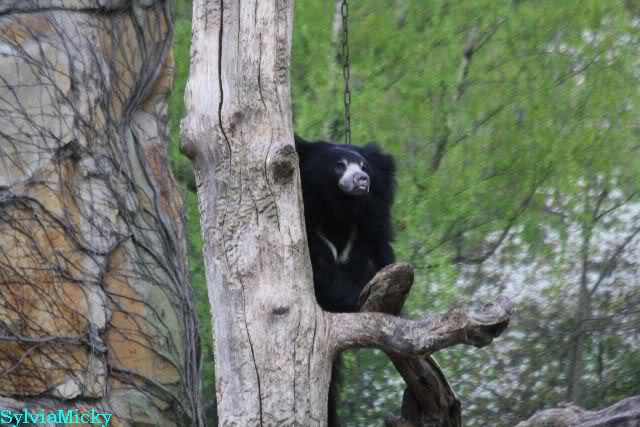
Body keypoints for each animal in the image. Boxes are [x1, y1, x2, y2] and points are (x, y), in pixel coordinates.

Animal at [294, 135, 395, 426]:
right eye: (339, 165)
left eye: (364, 166)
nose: (362, 180)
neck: (338, 212)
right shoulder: (311, 229)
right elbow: (322, 272)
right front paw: (352, 298)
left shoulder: (368, 228)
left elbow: (379, 259)